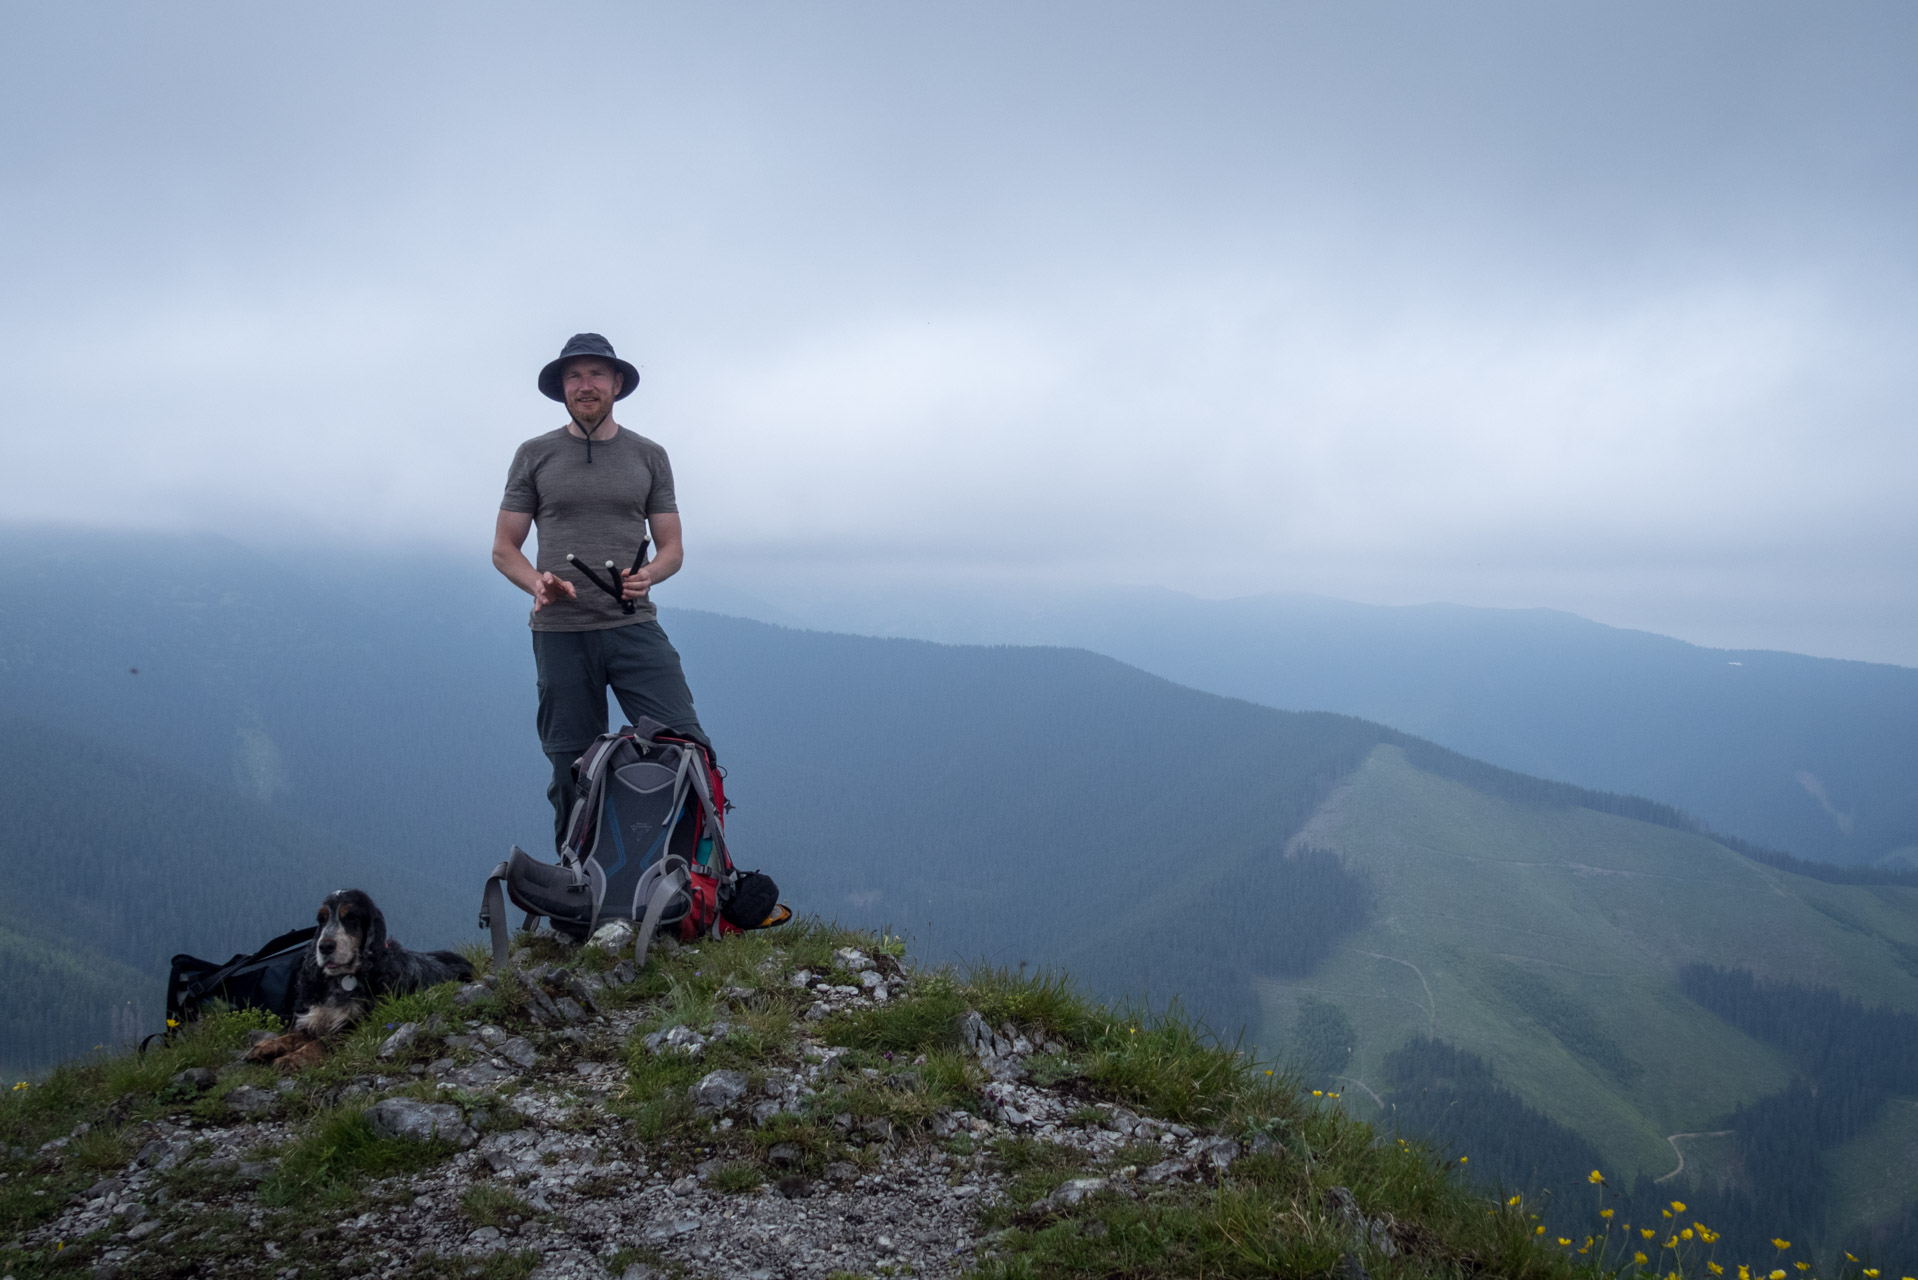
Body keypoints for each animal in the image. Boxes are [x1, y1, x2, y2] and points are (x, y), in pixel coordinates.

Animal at [245, 890, 473, 1074]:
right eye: (321, 919)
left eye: (351, 917)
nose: (324, 946)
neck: (342, 979)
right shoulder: (313, 1019)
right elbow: (293, 1036)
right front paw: (264, 1047)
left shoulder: (355, 1027)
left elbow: (321, 1042)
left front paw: (292, 1059)